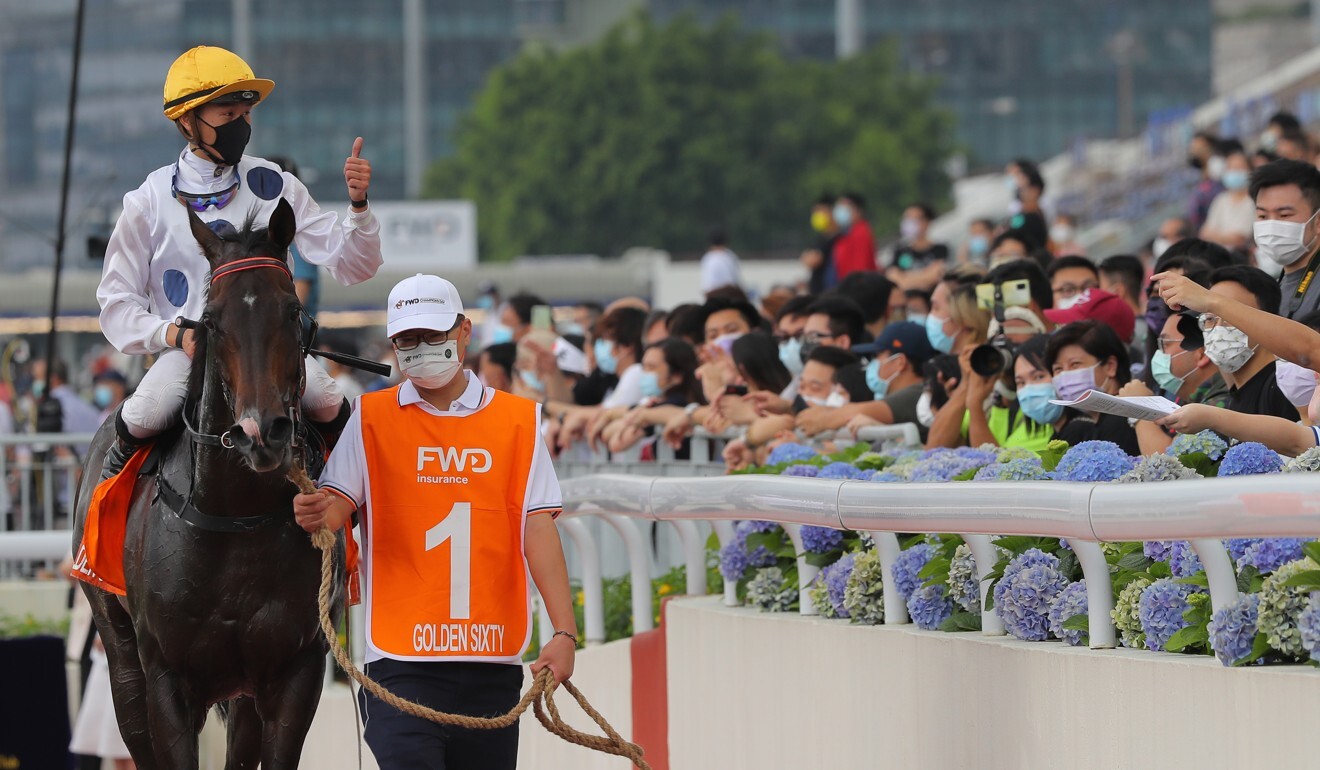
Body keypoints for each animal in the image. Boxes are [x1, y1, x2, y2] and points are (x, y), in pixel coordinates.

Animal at [72, 200, 345, 770]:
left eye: (292, 310)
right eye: (212, 320)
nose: (261, 432)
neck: (235, 516)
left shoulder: (296, 669)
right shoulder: (167, 681)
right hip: (118, 648)